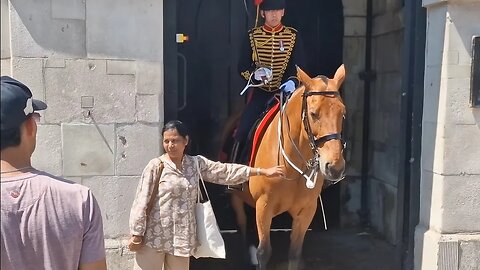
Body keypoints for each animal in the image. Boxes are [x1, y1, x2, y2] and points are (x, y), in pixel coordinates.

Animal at [232, 64, 346, 268]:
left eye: (343, 113)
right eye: (313, 113)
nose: (335, 167)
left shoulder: (306, 210)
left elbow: (294, 254)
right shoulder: (264, 206)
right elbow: (264, 252)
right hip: (236, 198)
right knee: (243, 223)